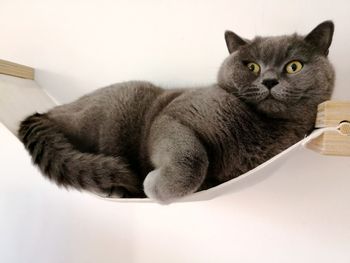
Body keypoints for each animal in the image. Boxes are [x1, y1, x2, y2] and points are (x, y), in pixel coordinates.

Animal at [17, 21, 334, 204]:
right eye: (251, 66)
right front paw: (154, 185)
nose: (269, 81)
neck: (259, 126)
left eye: (294, 66)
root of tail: (43, 113)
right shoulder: (173, 117)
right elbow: (194, 158)